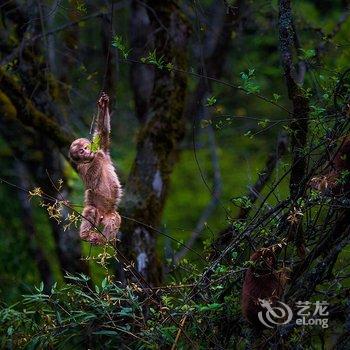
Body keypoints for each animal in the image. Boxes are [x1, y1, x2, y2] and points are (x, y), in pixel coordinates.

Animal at [69, 93, 122, 246]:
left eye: (85, 148)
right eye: (81, 152)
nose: (87, 152)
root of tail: (103, 214)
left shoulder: (103, 148)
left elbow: (103, 132)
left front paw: (103, 106)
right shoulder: (81, 167)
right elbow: (91, 183)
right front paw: (96, 156)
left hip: (109, 215)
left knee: (115, 219)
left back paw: (103, 239)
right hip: (96, 209)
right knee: (91, 210)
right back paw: (86, 235)